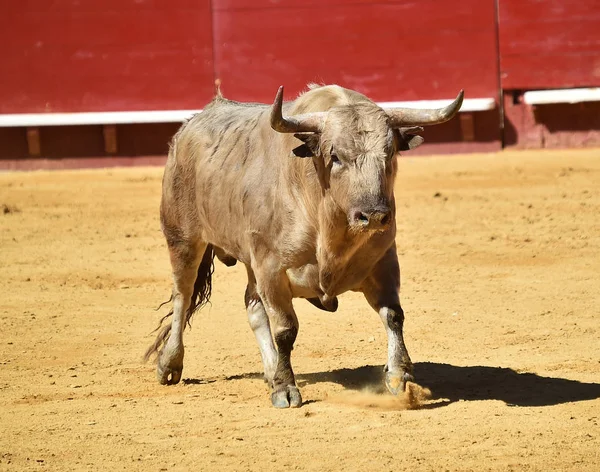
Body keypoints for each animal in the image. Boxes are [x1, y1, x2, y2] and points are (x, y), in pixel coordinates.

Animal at [146, 83, 464, 408]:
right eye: (335, 156)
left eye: (389, 153)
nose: (374, 215)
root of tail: (191, 125)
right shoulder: (271, 269)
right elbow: (285, 329)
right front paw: (285, 388)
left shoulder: (384, 261)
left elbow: (393, 315)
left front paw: (400, 376)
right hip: (182, 238)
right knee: (183, 296)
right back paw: (170, 364)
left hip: (249, 260)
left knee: (252, 306)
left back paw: (270, 371)